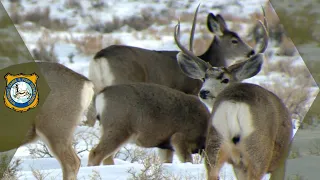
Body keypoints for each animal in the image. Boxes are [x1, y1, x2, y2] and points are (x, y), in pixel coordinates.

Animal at [175, 10, 292, 180]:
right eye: (204, 78)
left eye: (225, 79)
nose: (203, 92)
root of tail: (234, 104)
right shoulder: (280, 162)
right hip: (257, 150)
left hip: (215, 142)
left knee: (212, 172)